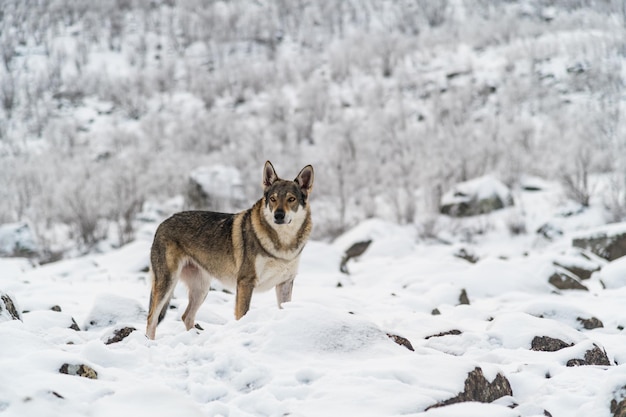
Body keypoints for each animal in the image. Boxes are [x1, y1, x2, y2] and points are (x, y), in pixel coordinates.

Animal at [145, 159, 312, 338]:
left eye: (291, 199)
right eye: (273, 199)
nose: (278, 215)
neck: (283, 245)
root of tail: (162, 223)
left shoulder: (285, 283)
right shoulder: (245, 282)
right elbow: (242, 316)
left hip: (201, 289)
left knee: (186, 316)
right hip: (168, 283)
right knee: (151, 318)